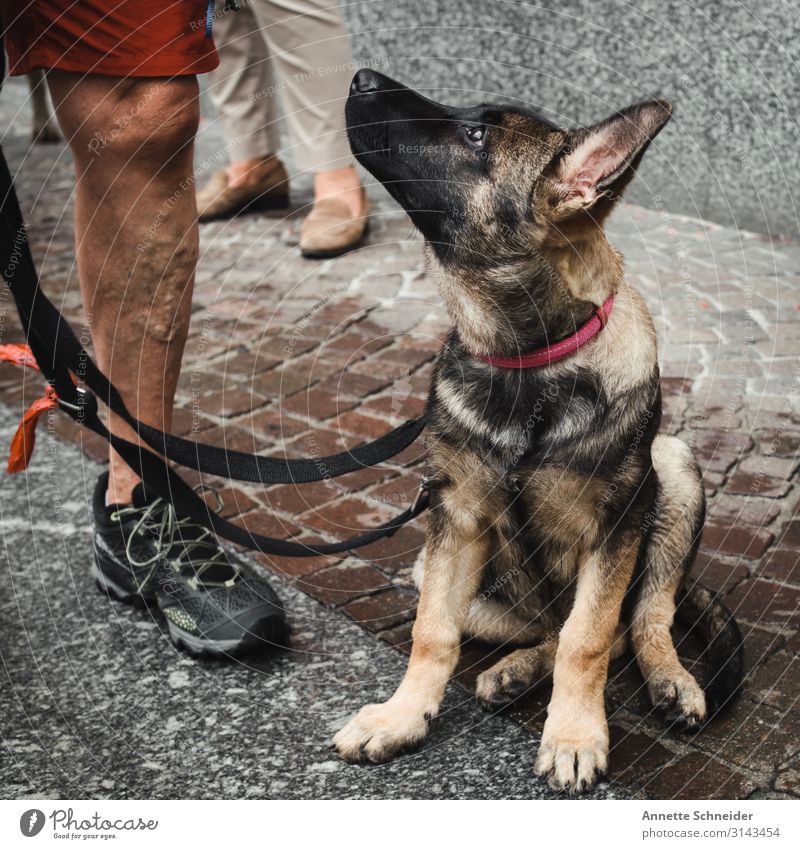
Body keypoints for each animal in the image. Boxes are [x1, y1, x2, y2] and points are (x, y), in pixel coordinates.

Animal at [334, 69, 748, 792]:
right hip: (435, 567)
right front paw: (403, 715)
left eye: (476, 135)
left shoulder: (616, 529)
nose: (361, 78)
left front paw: (575, 734)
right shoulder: (455, 517)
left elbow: (591, 637)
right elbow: (431, 632)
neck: (528, 364)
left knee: (641, 617)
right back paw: (516, 669)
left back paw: (668, 679)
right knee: (547, 629)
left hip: (673, 472)